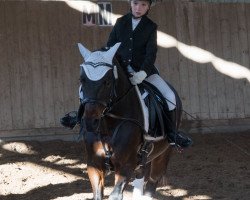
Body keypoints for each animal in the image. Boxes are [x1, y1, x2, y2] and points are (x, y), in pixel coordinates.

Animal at [77, 42, 183, 200]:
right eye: (82, 80)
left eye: (107, 82)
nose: (90, 122)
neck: (109, 126)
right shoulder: (94, 165)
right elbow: (97, 195)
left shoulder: (126, 166)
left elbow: (115, 195)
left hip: (163, 153)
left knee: (152, 182)